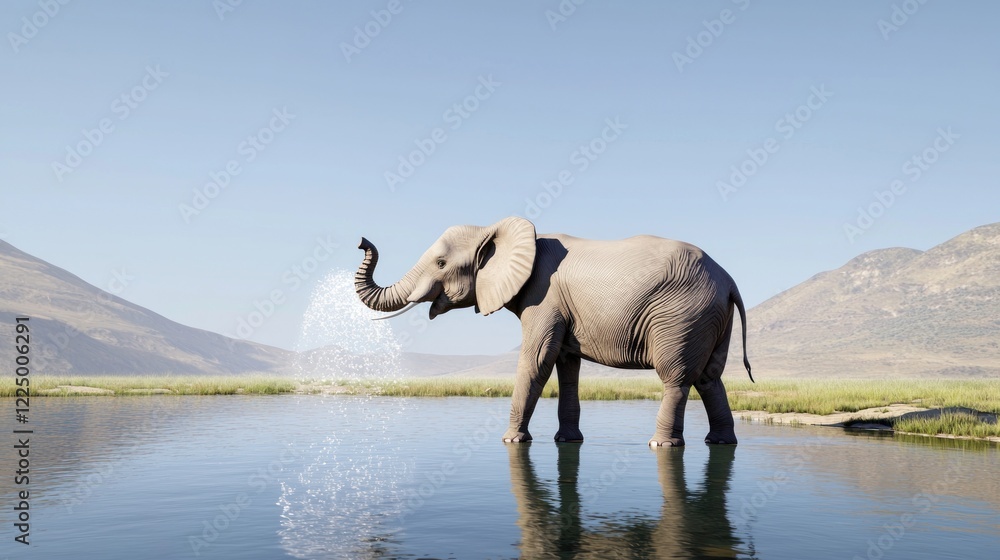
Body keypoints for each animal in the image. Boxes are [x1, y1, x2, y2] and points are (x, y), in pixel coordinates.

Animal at [355, 216, 751, 446]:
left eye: (440, 263)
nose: (362, 241)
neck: (499, 231)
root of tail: (729, 280)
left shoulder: (543, 298)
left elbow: (537, 359)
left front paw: (511, 442)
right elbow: (566, 366)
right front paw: (568, 442)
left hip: (681, 315)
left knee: (676, 377)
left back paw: (662, 445)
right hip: (710, 316)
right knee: (709, 377)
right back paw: (721, 444)